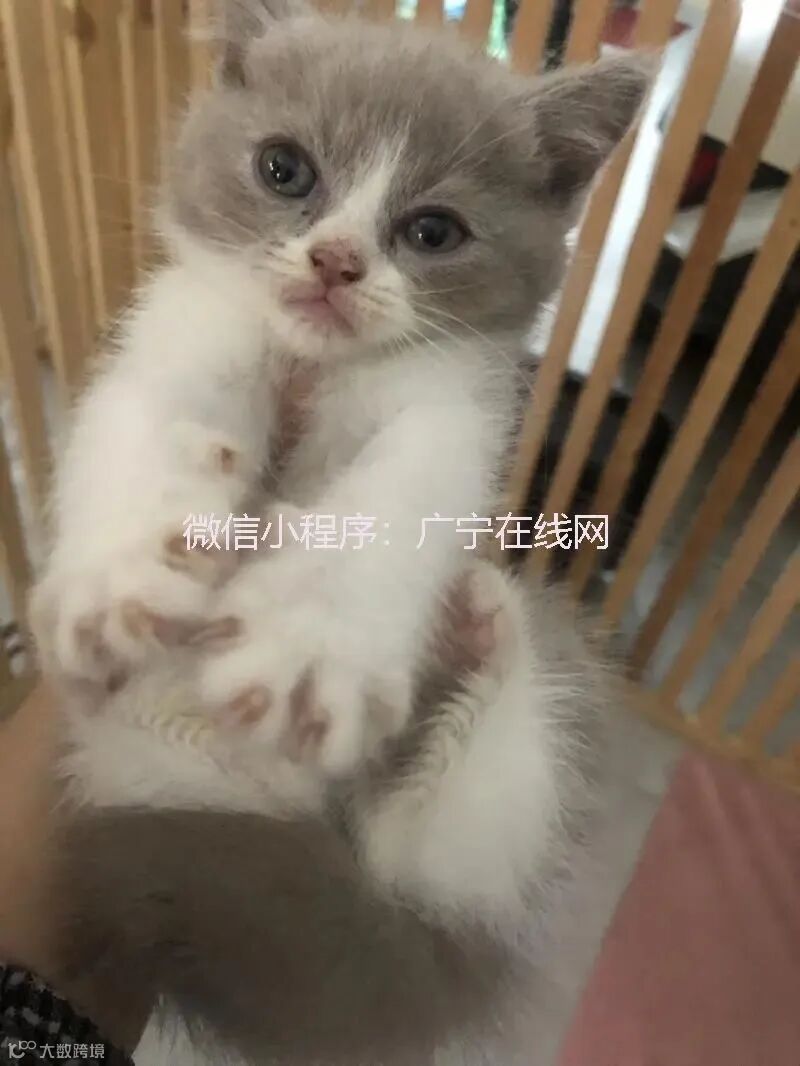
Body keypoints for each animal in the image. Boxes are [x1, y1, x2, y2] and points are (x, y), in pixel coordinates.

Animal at [30, 0, 651, 1061]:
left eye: (433, 230)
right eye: (285, 169)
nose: (336, 260)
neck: (317, 367)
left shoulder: (452, 410)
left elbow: (402, 493)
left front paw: (310, 648)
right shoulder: (177, 332)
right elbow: (142, 421)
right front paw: (115, 584)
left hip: (514, 769)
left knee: (439, 843)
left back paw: (479, 643)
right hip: (151, 765)